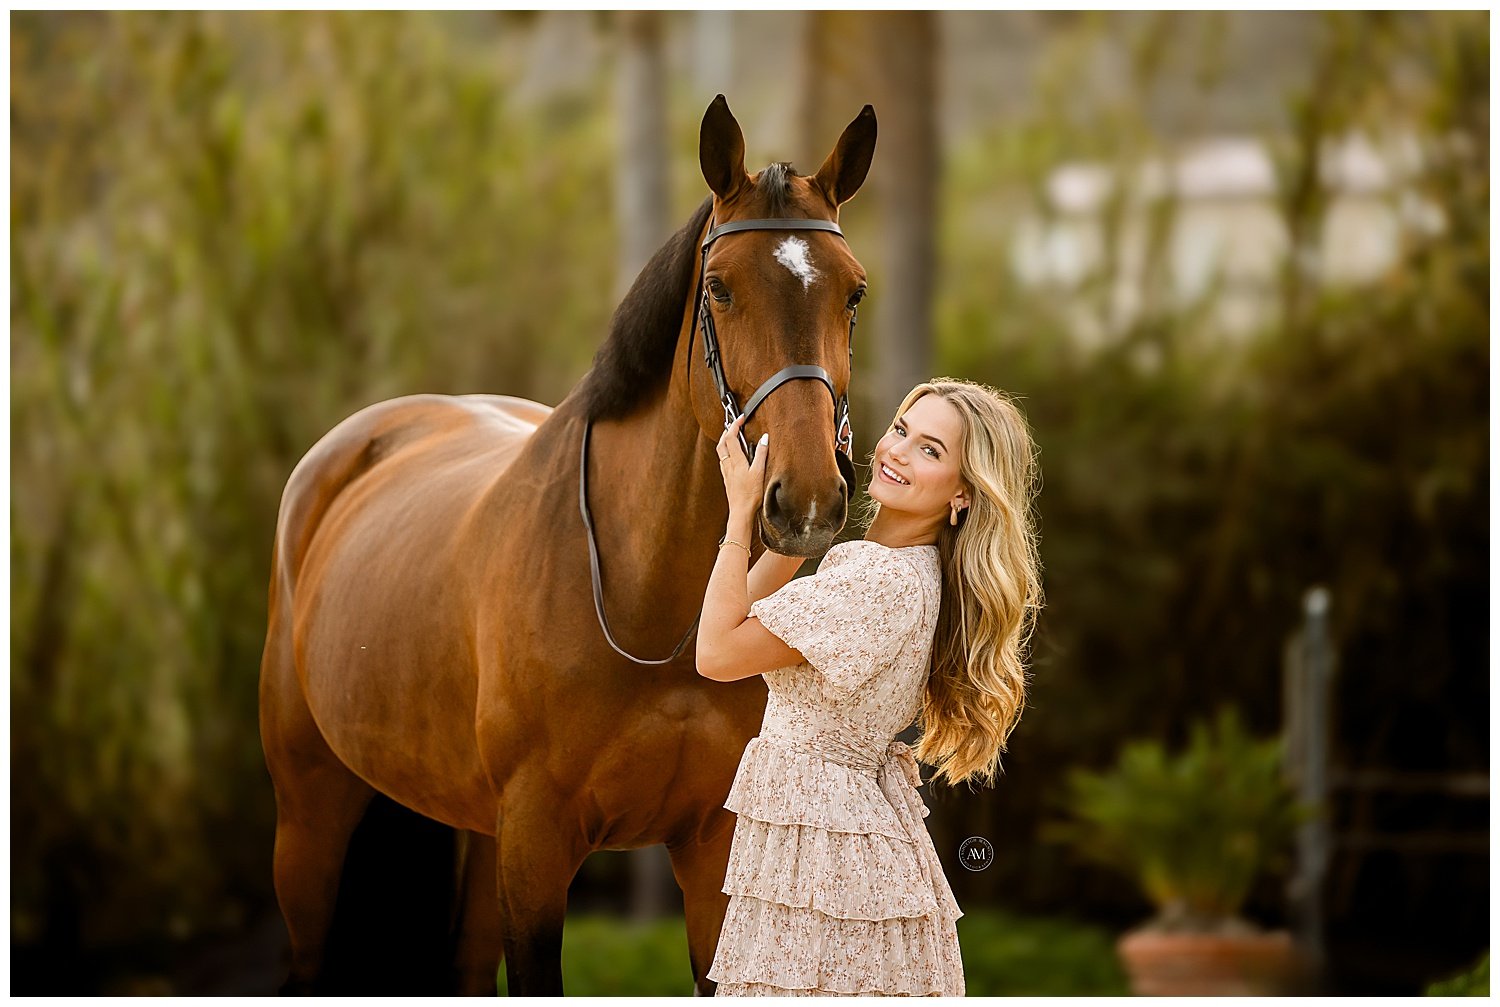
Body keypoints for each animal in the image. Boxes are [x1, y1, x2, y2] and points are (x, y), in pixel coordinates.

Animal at [259, 94, 877, 995]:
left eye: (853, 293)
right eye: (720, 288)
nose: (807, 498)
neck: (657, 607)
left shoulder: (712, 851)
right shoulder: (537, 847)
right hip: (310, 823)